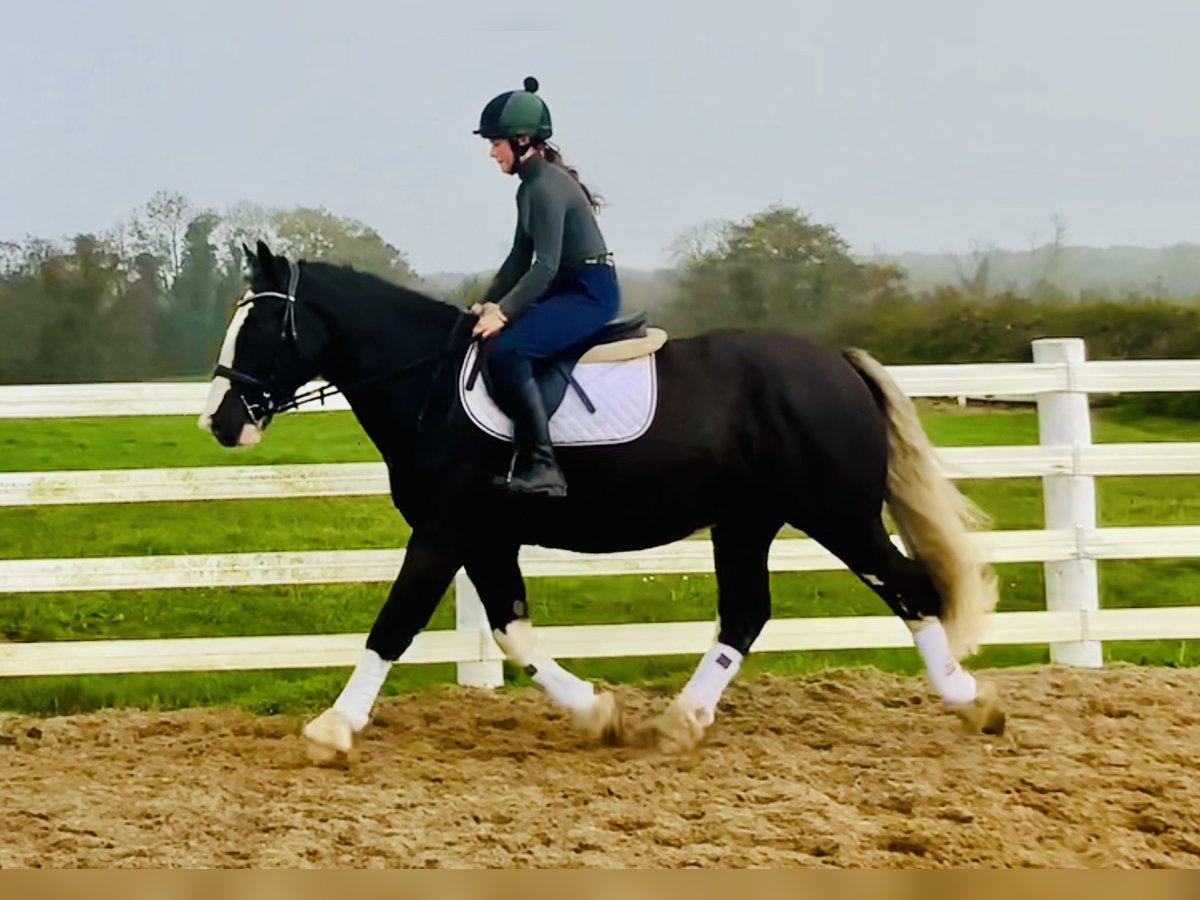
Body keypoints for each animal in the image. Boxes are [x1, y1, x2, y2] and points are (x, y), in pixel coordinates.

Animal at [200, 241, 1005, 763]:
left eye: (261, 325)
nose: (219, 422)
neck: (430, 385)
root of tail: (835, 361)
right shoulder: (484, 539)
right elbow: (513, 632)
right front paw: (600, 715)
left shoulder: (443, 532)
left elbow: (393, 624)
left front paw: (331, 730)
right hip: (747, 522)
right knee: (747, 612)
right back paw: (677, 724)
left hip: (838, 515)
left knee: (909, 588)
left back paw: (975, 703)